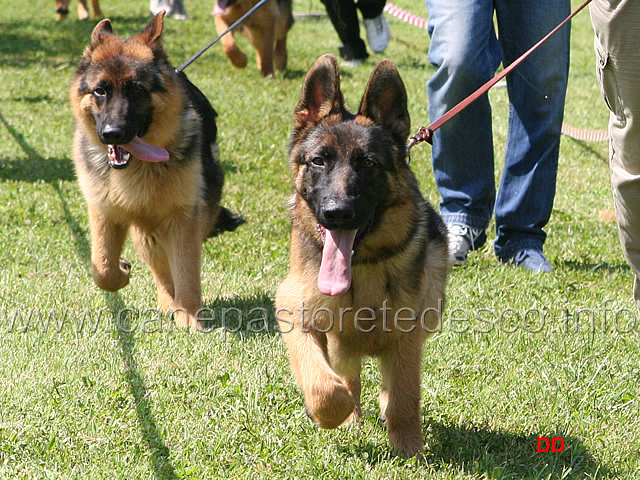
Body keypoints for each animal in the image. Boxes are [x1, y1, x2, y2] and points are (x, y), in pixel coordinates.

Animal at [70, 11, 244, 328]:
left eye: (137, 90)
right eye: (100, 91)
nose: (112, 134)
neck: (137, 168)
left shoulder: (183, 220)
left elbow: (186, 270)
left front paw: (189, 317)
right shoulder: (104, 213)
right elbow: (102, 268)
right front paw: (121, 271)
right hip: (146, 235)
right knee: (160, 270)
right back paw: (166, 302)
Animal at [276, 54, 450, 456]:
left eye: (368, 163)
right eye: (319, 161)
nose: (337, 213)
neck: (362, 266)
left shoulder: (406, 336)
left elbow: (404, 396)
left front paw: (408, 447)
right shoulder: (292, 308)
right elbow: (326, 386)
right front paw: (335, 413)